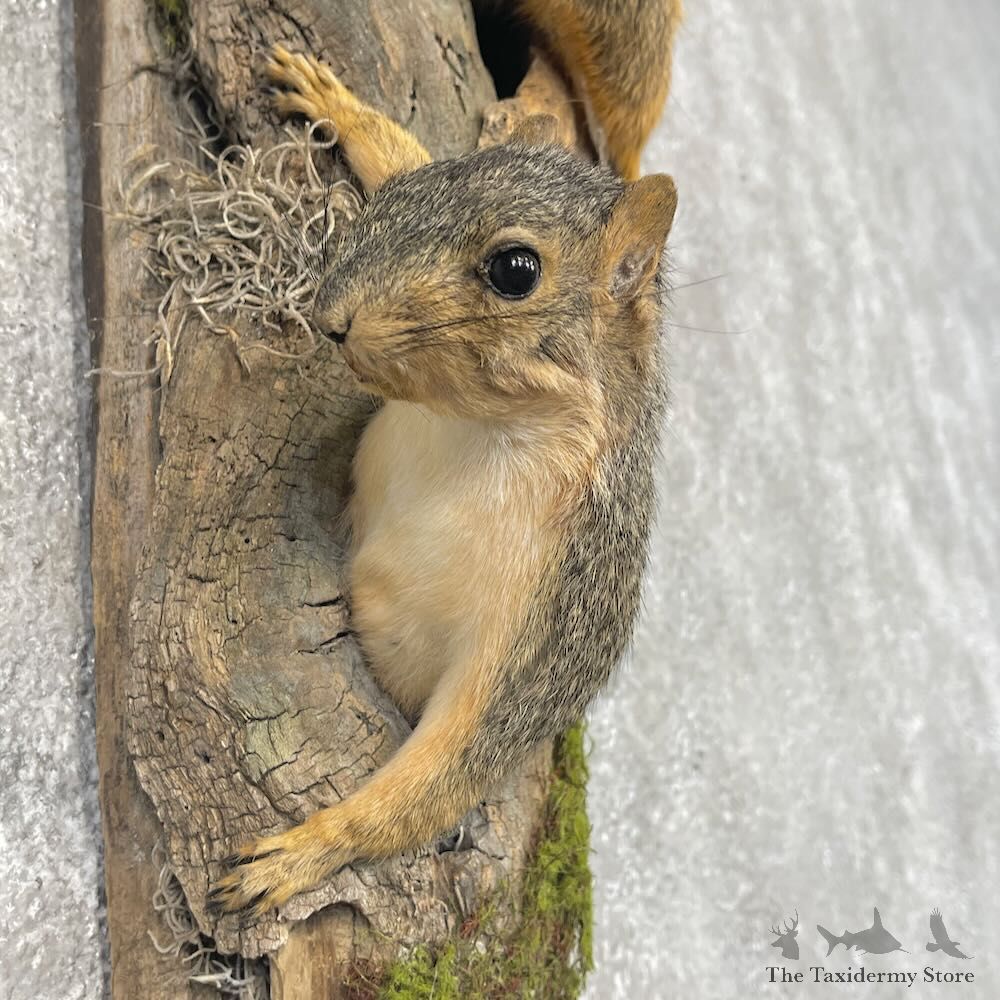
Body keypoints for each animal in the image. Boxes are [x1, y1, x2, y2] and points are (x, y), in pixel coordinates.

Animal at [210, 1, 680, 915]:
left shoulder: (555, 614)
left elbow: (455, 762)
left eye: (515, 270)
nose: (332, 314)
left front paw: (308, 850)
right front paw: (341, 105)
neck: (473, 434)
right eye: (408, 194)